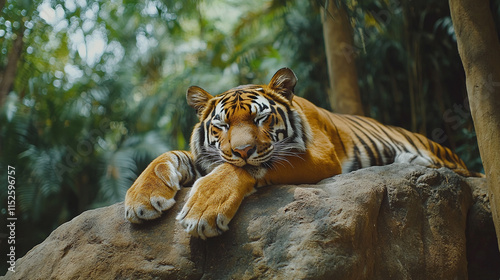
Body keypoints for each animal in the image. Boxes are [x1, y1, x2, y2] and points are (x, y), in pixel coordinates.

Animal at [124, 67, 480, 238]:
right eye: (221, 126)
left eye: (260, 118)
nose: (242, 149)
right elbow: (165, 158)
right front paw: (142, 199)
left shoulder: (319, 157)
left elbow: (246, 167)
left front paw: (202, 211)